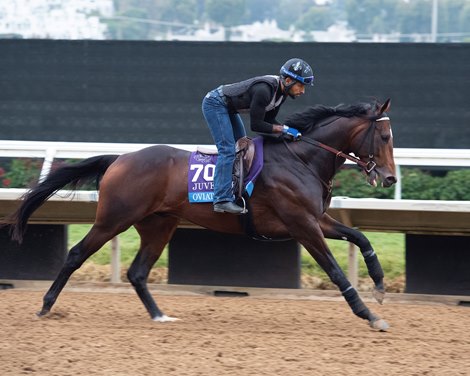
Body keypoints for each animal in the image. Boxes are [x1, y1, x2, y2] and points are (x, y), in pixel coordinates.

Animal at [2, 98, 396, 330]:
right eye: (385, 137)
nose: (390, 177)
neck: (302, 159)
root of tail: (120, 158)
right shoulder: (303, 226)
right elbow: (335, 272)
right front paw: (370, 315)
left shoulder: (318, 221)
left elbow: (361, 238)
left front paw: (379, 287)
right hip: (113, 219)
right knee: (76, 255)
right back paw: (45, 307)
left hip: (159, 225)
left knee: (137, 272)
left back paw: (160, 315)